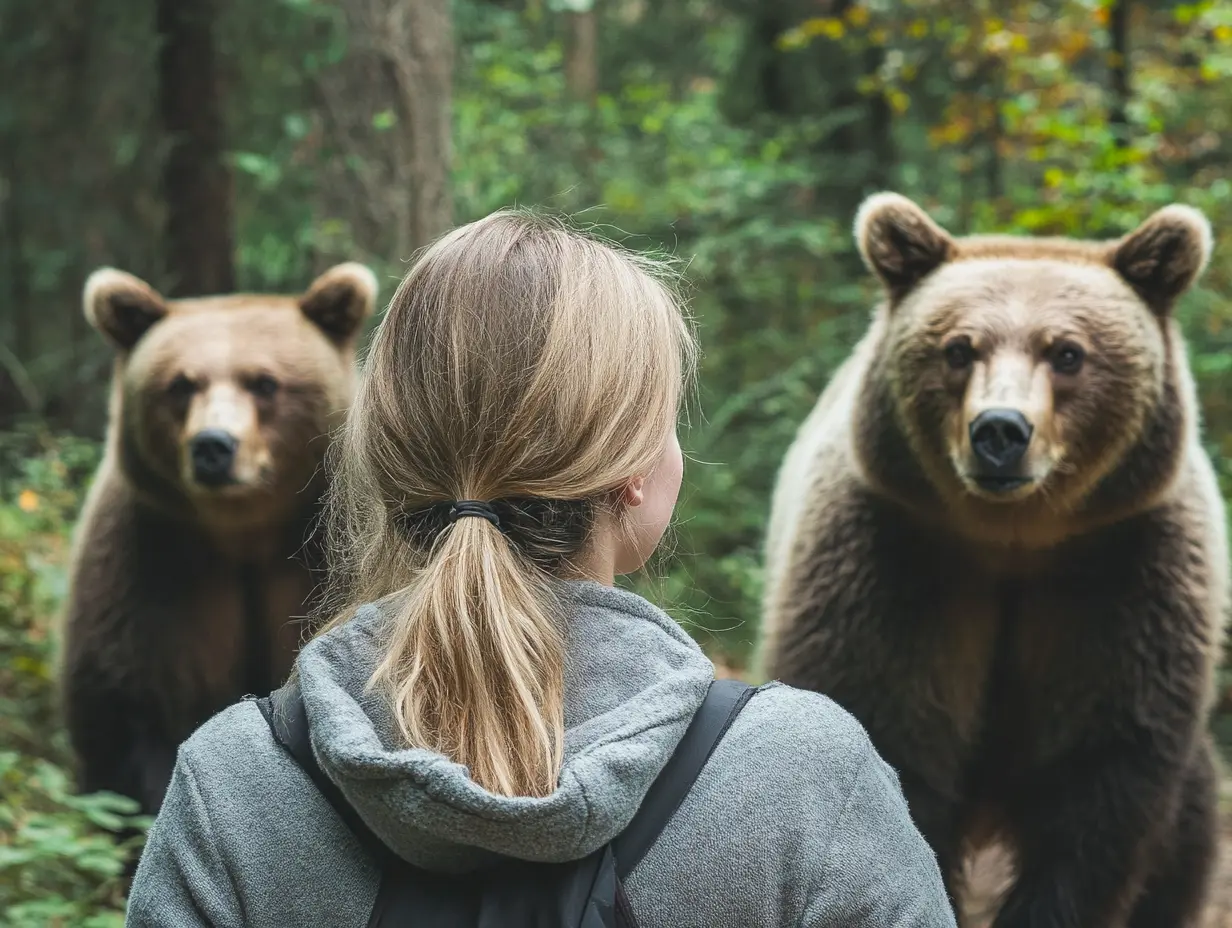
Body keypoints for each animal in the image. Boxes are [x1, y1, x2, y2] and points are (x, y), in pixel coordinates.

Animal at [60, 263, 377, 820]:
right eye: (180, 384)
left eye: (265, 382)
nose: (213, 446)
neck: (242, 534)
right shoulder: (153, 572)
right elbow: (129, 708)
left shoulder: (319, 562)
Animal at [760, 192, 1228, 928]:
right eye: (958, 348)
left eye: (1067, 351)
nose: (1000, 430)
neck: (1013, 540)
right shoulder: (893, 562)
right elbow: (890, 739)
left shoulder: (1125, 573)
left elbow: (1099, 780)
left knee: (1186, 834)